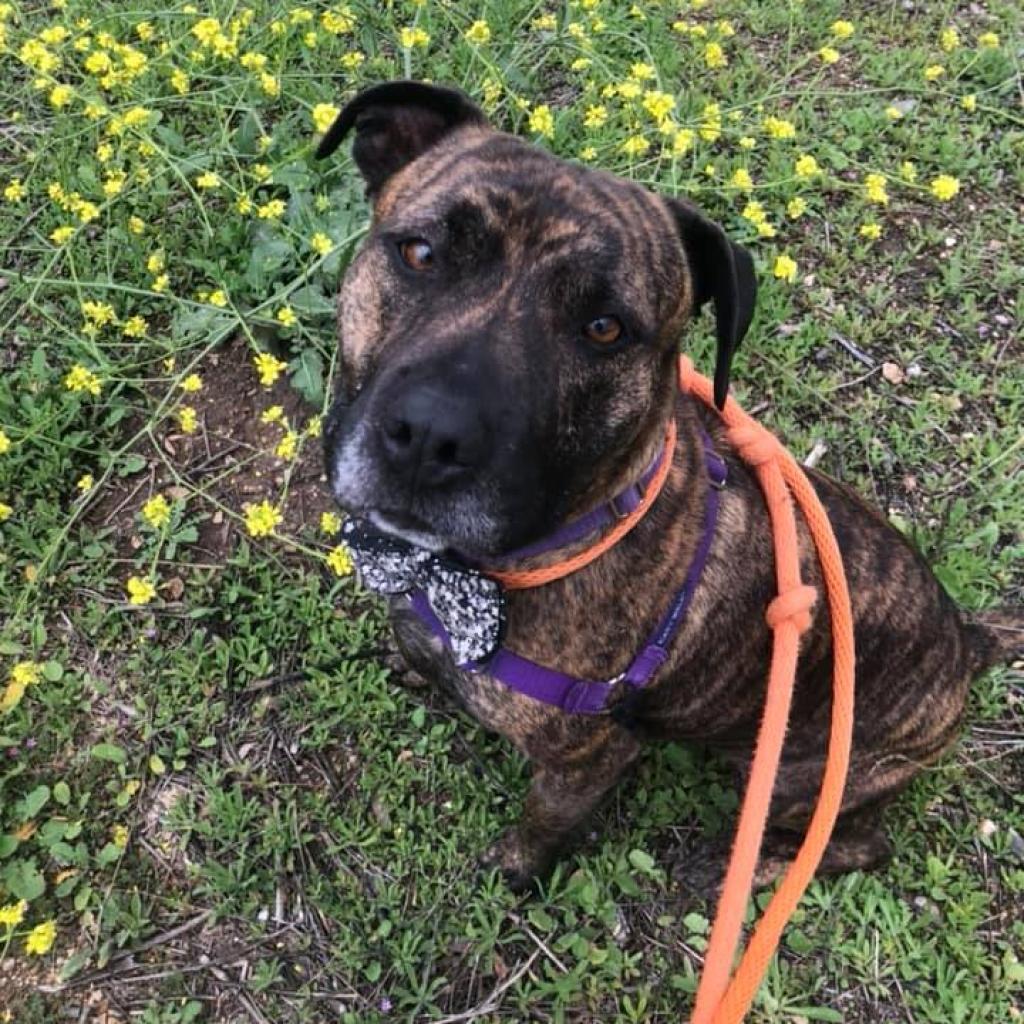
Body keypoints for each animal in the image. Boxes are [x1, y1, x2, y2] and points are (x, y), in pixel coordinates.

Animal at [317, 83, 1015, 892]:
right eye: (420, 253)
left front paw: (515, 869)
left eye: (605, 328)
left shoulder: (592, 759)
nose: (431, 435)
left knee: (861, 845)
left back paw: (761, 867)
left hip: (794, 778)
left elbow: (542, 820)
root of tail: (965, 641)